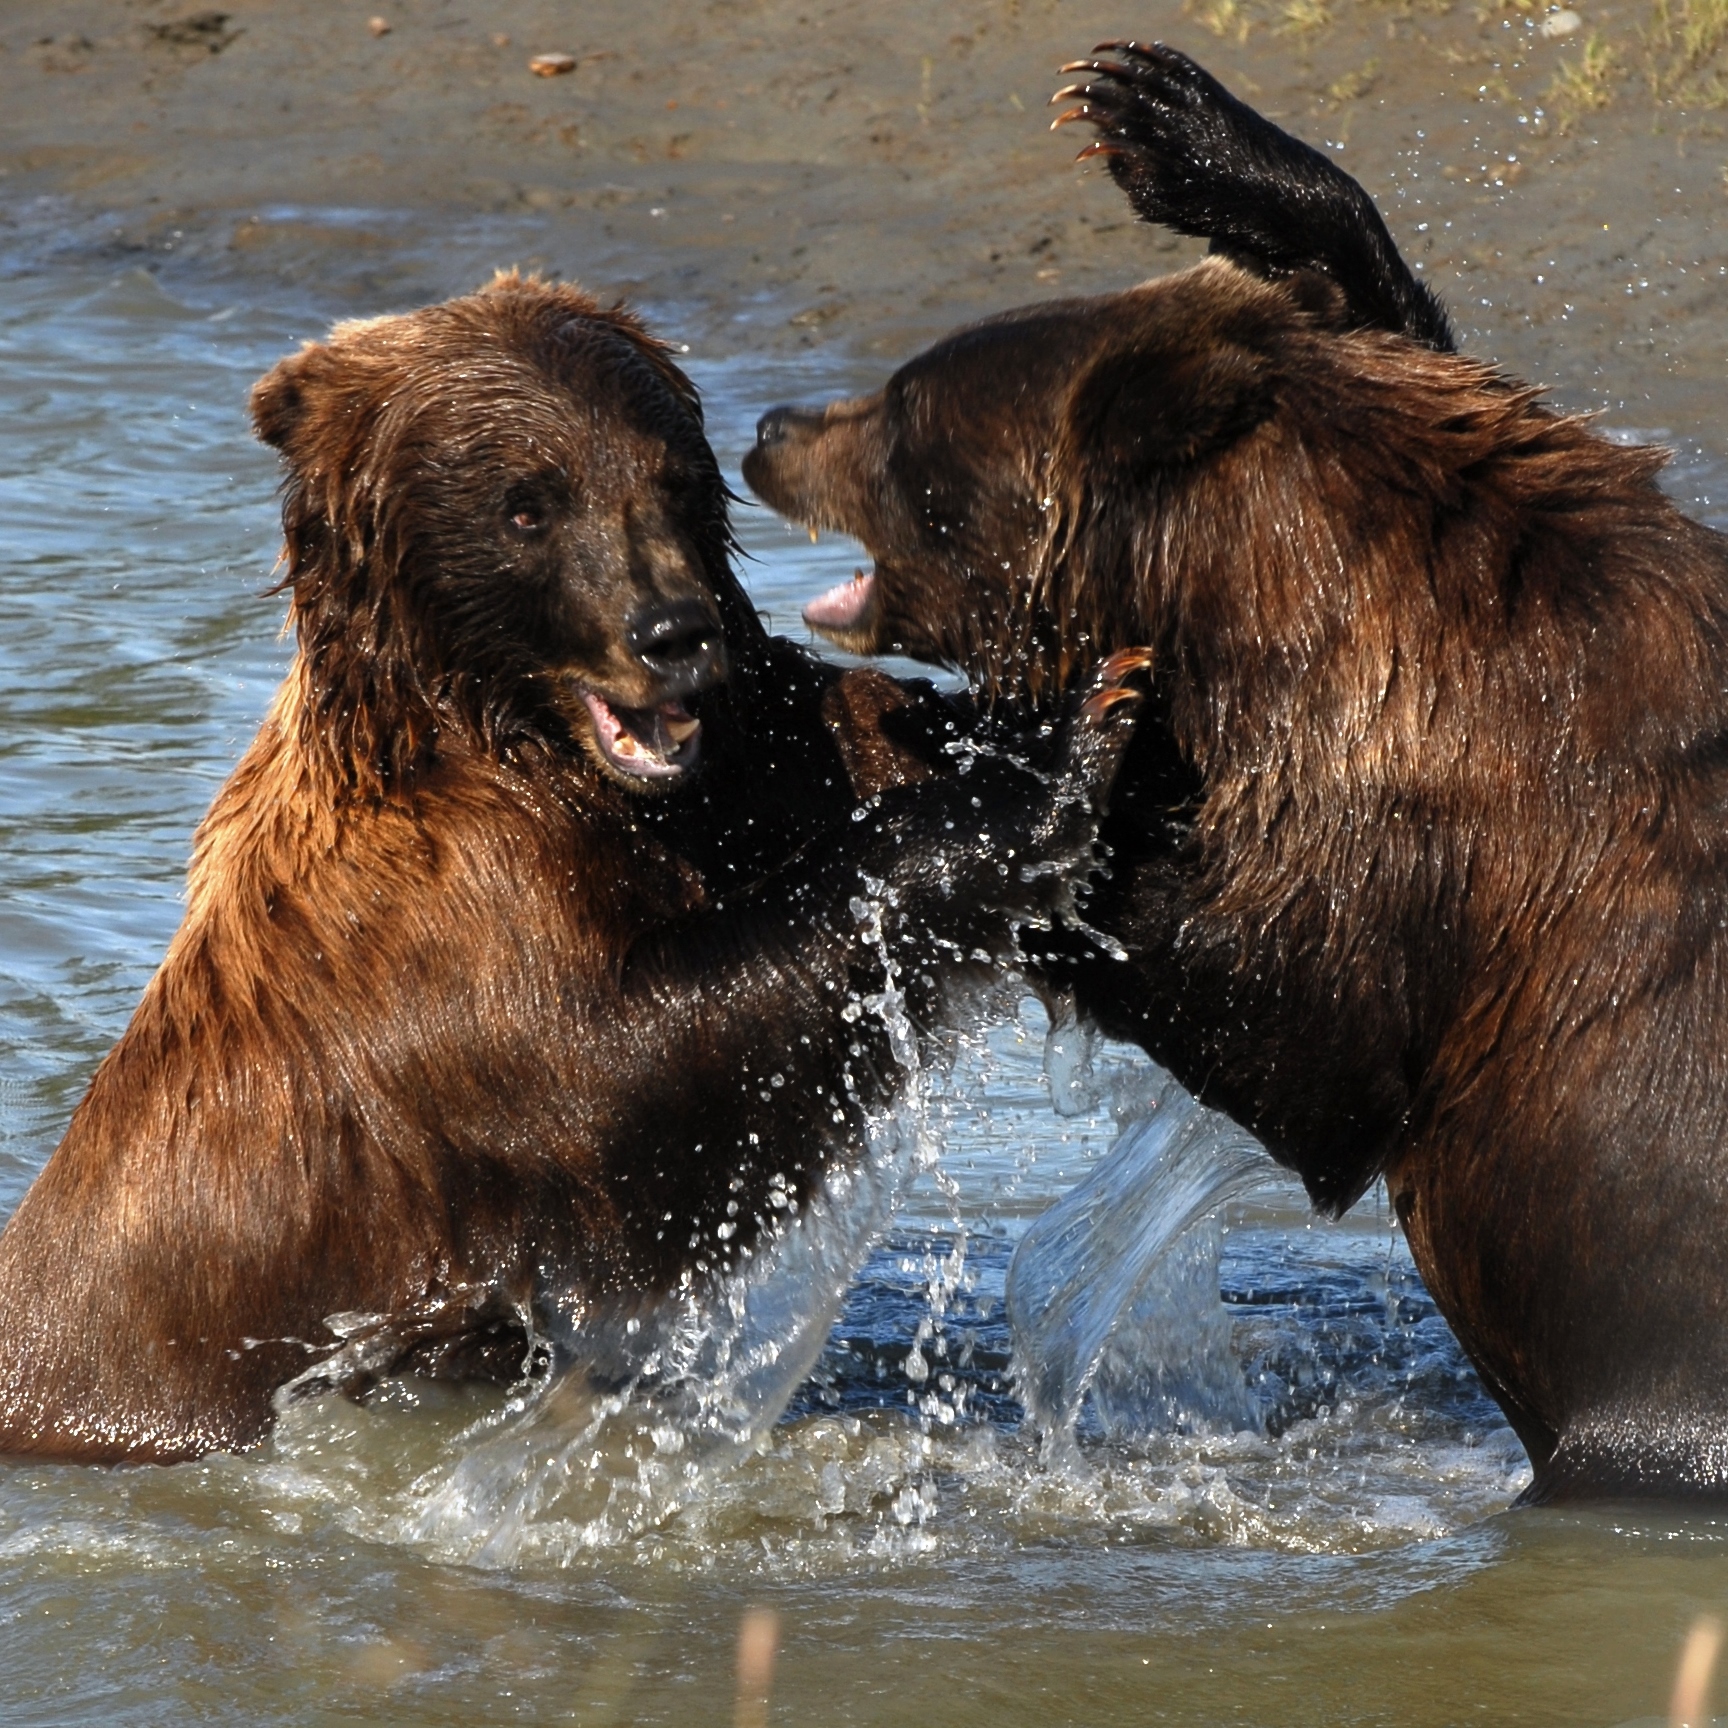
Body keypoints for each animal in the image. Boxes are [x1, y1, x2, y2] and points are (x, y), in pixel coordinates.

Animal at [0, 276, 1133, 1465]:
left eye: (674, 478)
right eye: (526, 506)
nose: (672, 631)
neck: (515, 746)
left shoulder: (725, 782)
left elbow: (825, 735)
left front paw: (1021, 720)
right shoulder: (437, 946)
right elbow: (642, 1077)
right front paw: (1042, 777)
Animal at [746, 50, 1728, 1499]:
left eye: (906, 413)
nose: (768, 423)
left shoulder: (1452, 858)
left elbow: (1275, 1008)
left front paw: (965, 759)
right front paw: (1164, 118)